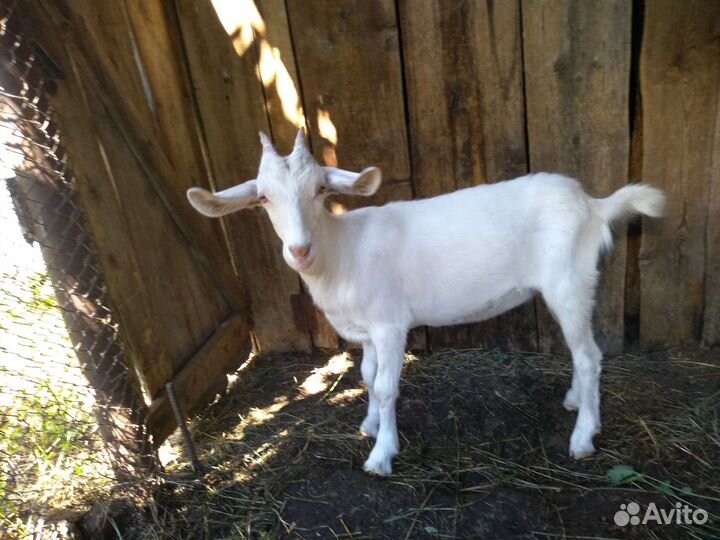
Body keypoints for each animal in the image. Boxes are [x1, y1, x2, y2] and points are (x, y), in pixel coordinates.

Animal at [187, 129, 665, 476]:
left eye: (321, 190)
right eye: (263, 197)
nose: (300, 250)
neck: (342, 251)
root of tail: (594, 205)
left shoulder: (390, 325)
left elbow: (385, 386)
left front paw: (382, 455)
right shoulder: (368, 332)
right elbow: (367, 376)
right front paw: (370, 425)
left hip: (569, 282)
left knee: (590, 355)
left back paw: (584, 437)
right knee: (581, 352)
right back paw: (575, 401)